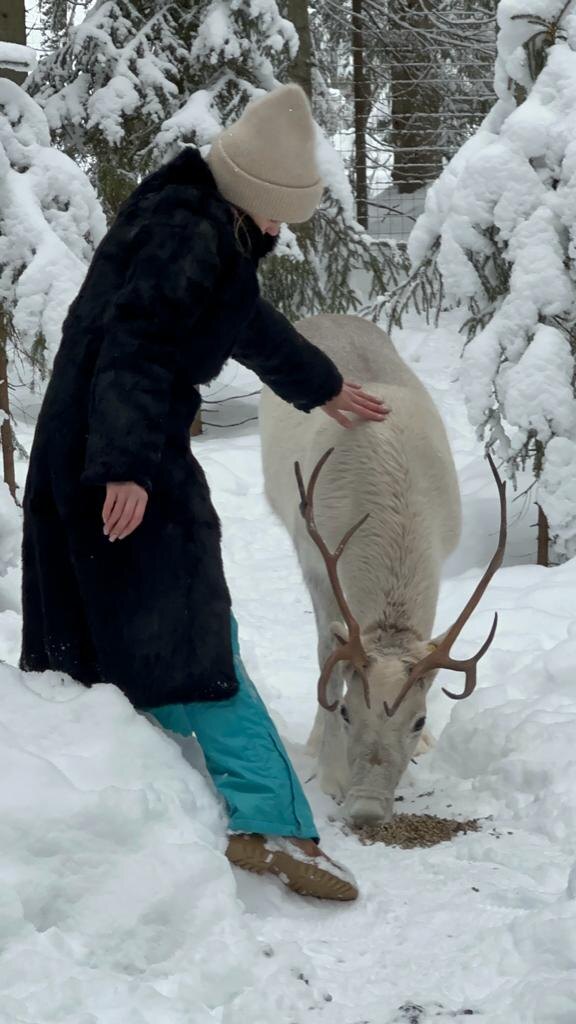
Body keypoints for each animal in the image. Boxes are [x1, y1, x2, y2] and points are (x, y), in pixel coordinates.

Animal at [259, 314, 506, 827]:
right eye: (348, 713)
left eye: (419, 719)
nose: (367, 809)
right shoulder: (316, 562)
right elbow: (328, 658)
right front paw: (329, 771)